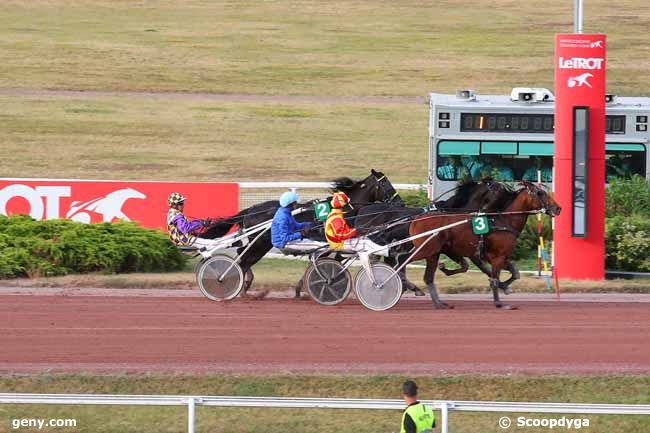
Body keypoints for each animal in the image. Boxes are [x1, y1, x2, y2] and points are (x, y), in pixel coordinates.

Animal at [408, 181, 560, 308]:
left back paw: (439, 303)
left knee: (428, 277)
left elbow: (515, 273)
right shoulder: (496, 257)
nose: (558, 208)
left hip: (433, 253)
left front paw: (505, 286)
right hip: (425, 249)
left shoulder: (496, 256)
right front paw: (499, 302)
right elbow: (495, 278)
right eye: (540, 193)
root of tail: (416, 219)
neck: (503, 221)